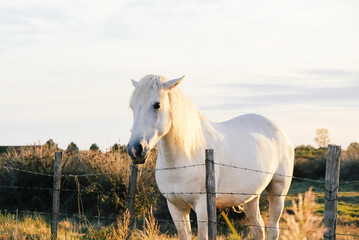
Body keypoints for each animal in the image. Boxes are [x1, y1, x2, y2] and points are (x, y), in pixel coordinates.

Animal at [128, 74, 294, 239]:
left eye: (157, 105)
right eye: (132, 106)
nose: (135, 149)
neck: (185, 157)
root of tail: (279, 131)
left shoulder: (203, 207)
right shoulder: (176, 207)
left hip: (278, 192)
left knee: (273, 229)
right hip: (251, 197)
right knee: (258, 228)